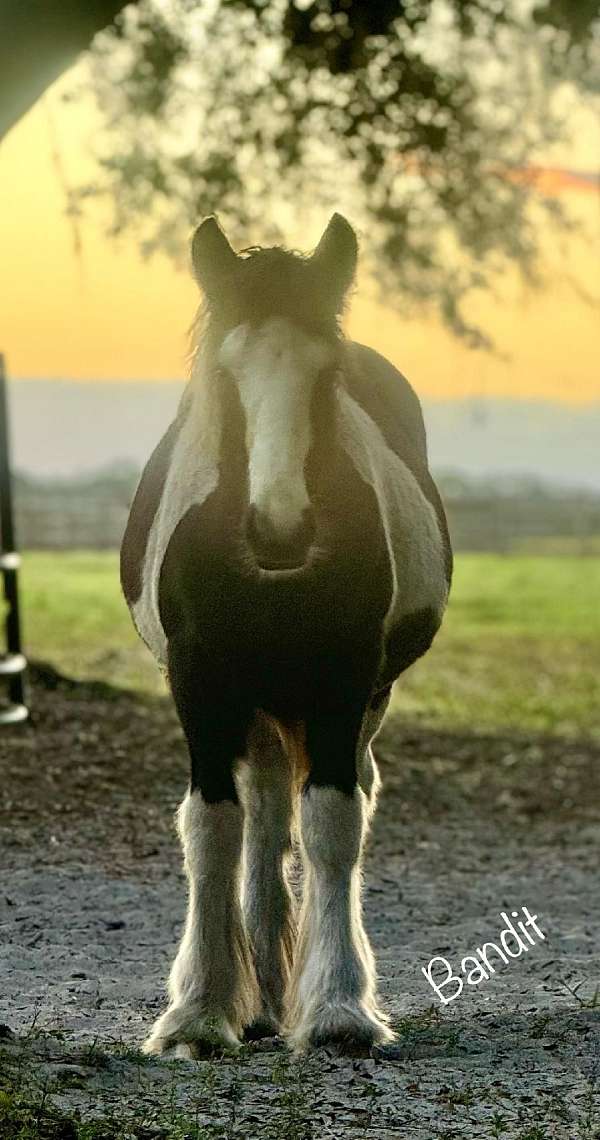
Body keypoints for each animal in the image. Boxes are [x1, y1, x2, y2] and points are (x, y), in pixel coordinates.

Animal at [120, 209, 451, 1053]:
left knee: (328, 807)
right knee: (265, 823)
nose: (278, 530)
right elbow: (213, 828)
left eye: (326, 376)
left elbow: (333, 823)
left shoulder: (344, 680)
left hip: (356, 701)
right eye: (226, 374)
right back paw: (263, 996)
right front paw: (200, 1012)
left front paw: (338, 1009)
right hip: (261, 705)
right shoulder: (197, 681)